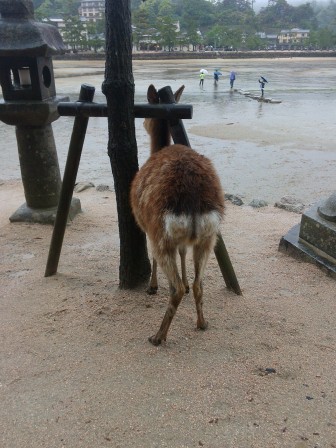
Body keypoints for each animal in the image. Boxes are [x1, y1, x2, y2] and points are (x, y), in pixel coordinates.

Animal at [130, 85, 224, 346]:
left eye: (146, 111)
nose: (143, 122)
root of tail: (193, 201)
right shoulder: (184, 241)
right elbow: (184, 252)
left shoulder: (146, 226)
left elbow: (151, 254)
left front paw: (151, 286)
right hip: (209, 237)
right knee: (198, 283)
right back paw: (202, 322)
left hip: (161, 231)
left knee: (177, 287)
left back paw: (157, 336)